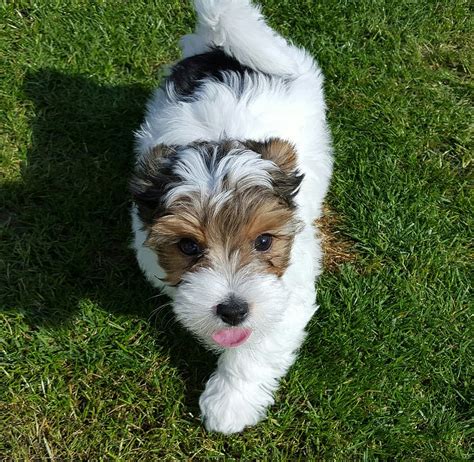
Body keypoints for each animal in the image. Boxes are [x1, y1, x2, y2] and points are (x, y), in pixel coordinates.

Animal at [130, 0, 330, 434]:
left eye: (264, 241)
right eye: (188, 247)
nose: (233, 310)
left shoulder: (289, 289)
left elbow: (260, 340)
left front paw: (230, 402)